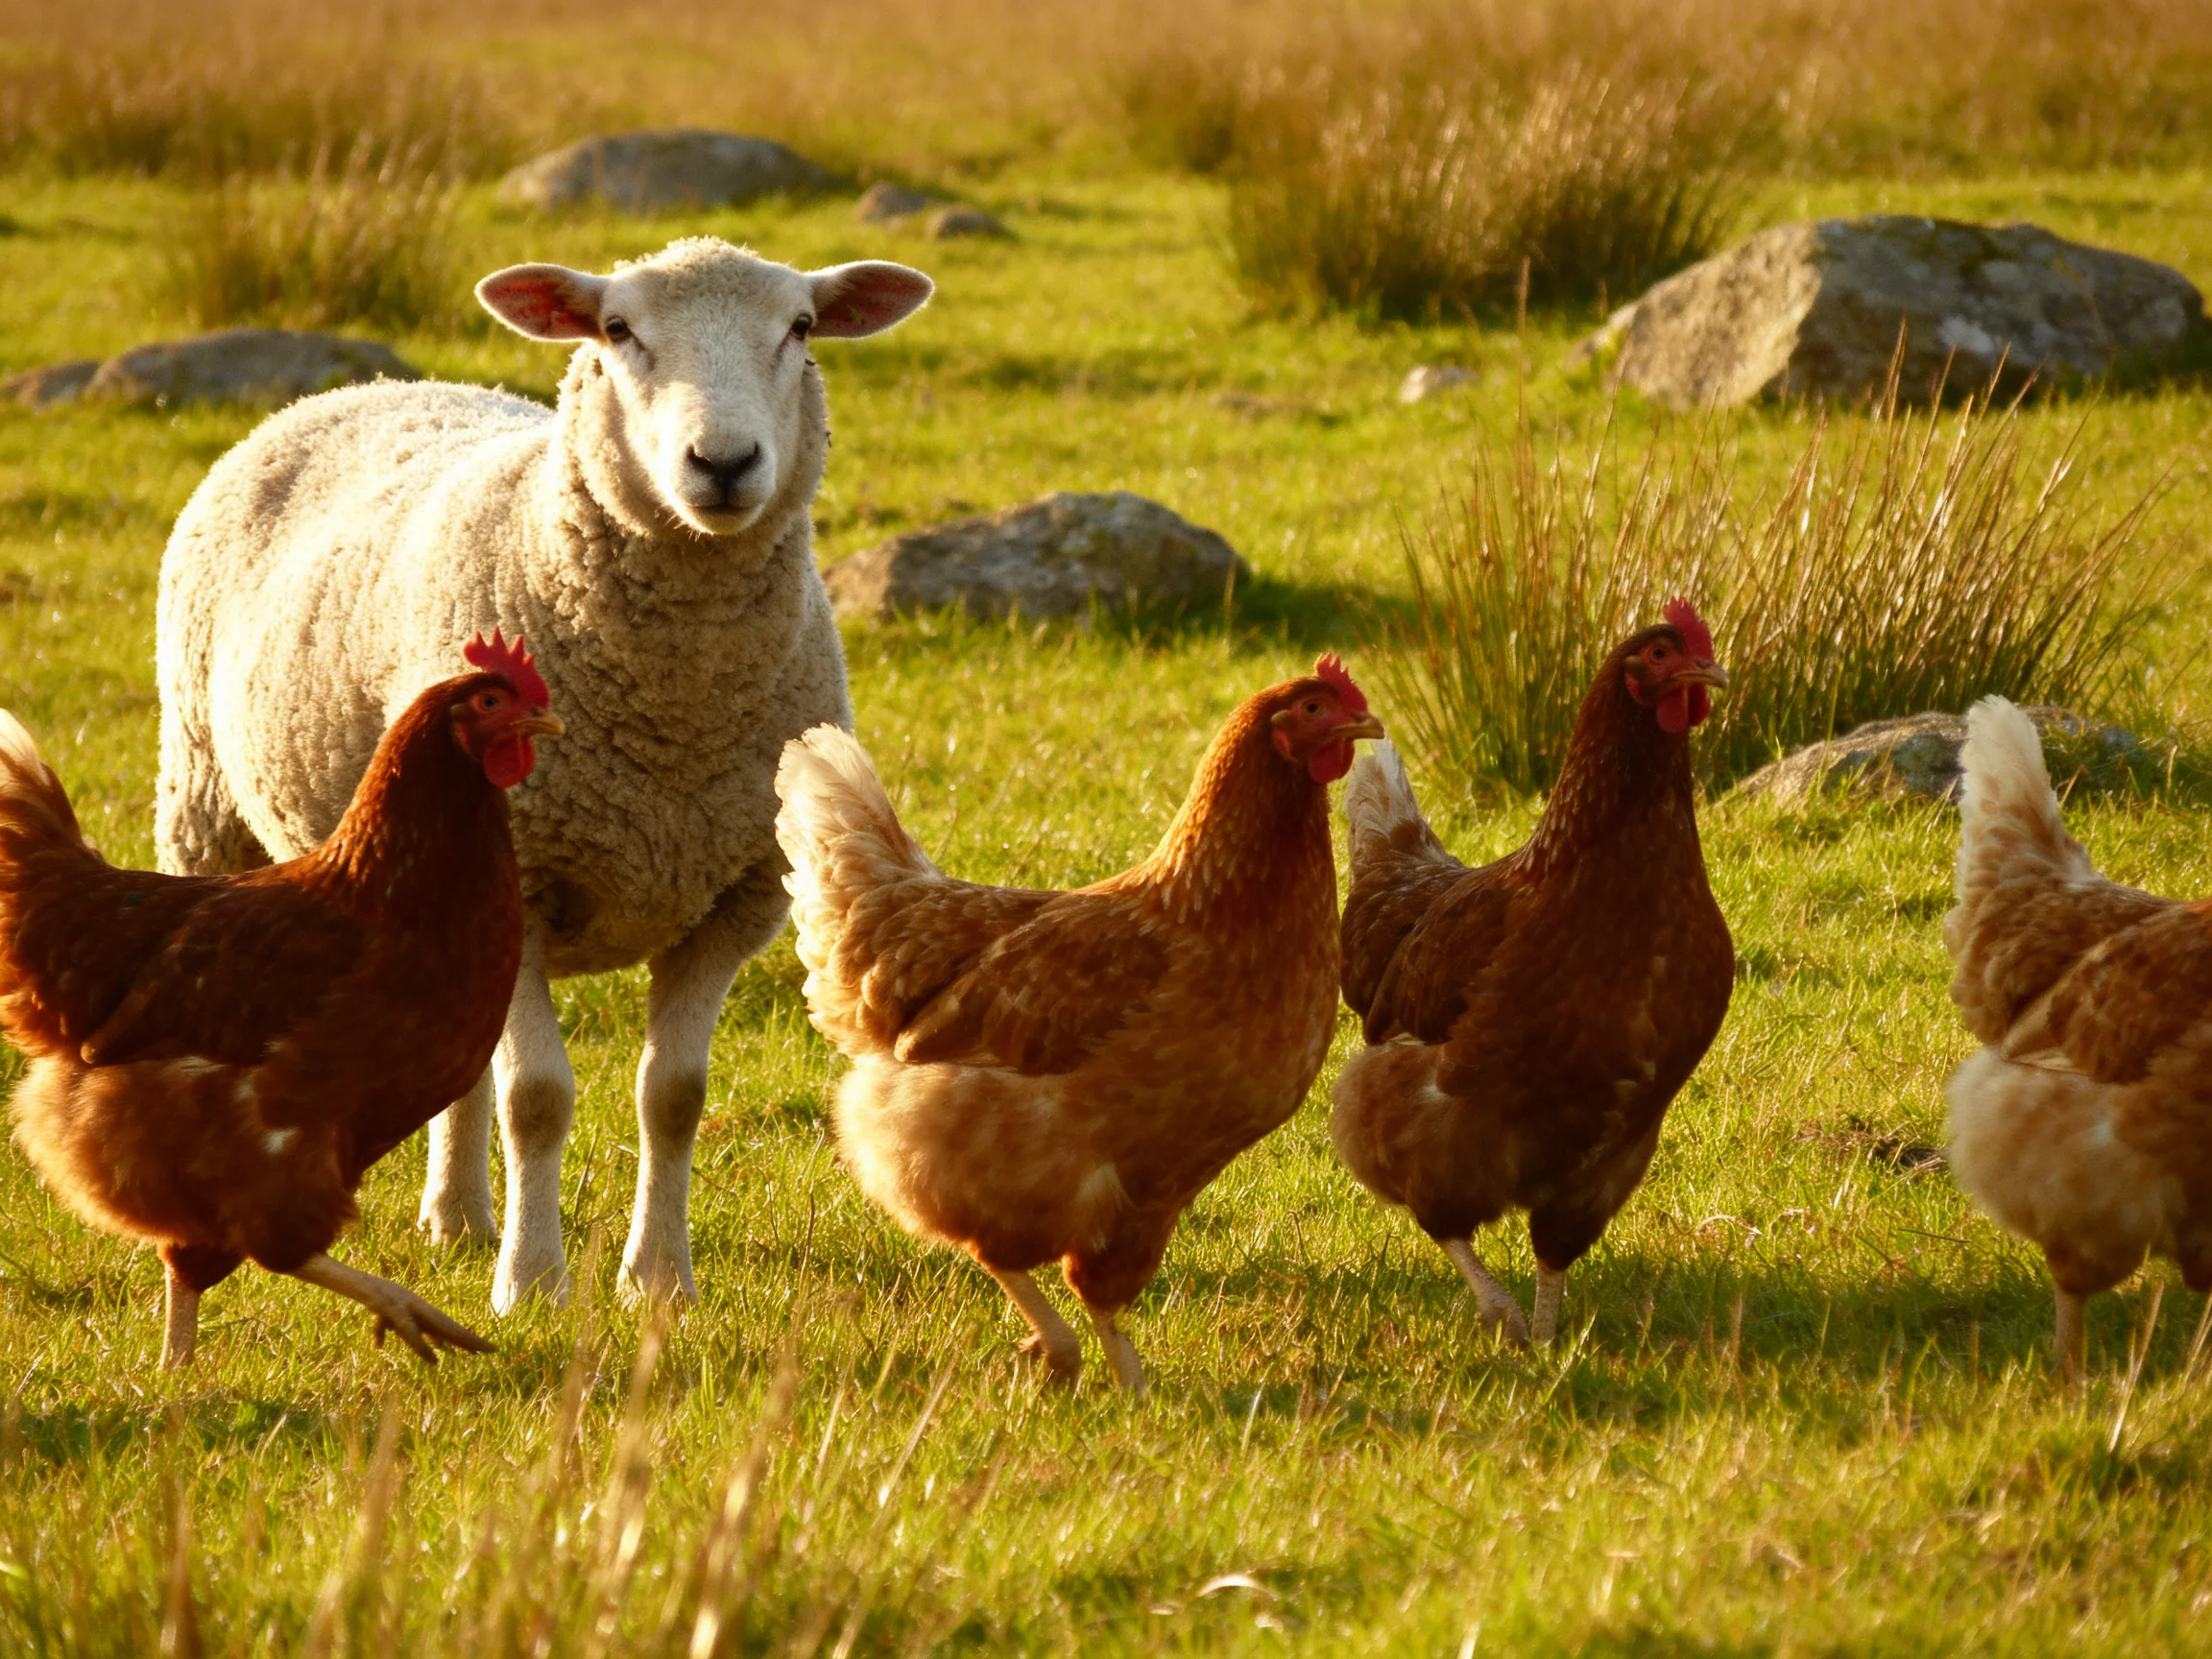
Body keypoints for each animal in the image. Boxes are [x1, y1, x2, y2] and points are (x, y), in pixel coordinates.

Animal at [154, 236, 933, 1312]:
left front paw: (660, 1282)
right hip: (205, 797)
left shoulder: (735, 899)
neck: (673, 722)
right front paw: (532, 1284)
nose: (724, 463)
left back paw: (457, 1218)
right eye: (618, 331)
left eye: (801, 328)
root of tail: (369, 386)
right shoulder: (520, 877)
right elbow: (537, 1097)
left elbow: (674, 1097)